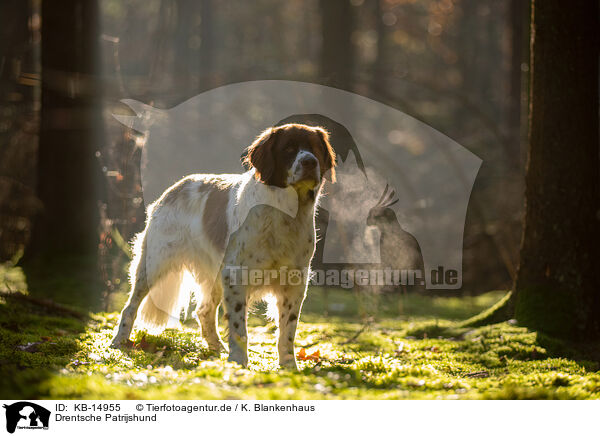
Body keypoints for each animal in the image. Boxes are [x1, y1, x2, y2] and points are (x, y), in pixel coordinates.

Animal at [110, 122, 336, 368]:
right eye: (289, 149)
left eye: (315, 148)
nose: (309, 162)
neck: (284, 212)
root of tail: (175, 188)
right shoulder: (235, 276)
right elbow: (239, 328)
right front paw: (238, 362)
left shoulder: (295, 282)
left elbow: (288, 331)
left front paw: (288, 367)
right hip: (154, 265)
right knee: (130, 307)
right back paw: (118, 342)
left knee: (204, 311)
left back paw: (216, 349)